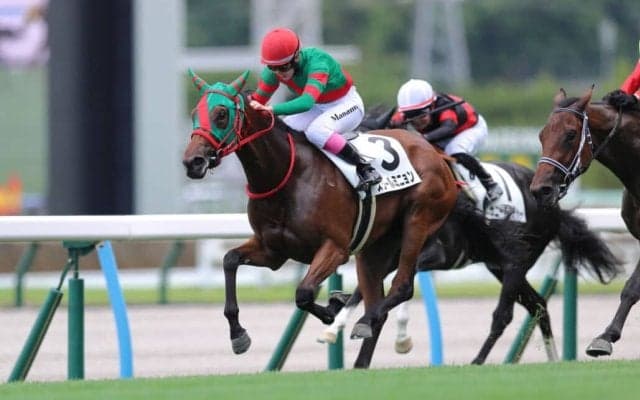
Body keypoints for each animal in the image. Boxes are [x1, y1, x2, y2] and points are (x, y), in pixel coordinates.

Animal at [181, 71, 459, 358]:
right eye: (194, 113)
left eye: (221, 113)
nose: (193, 162)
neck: (287, 175)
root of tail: (433, 152)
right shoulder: (272, 251)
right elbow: (229, 260)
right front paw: (238, 334)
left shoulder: (335, 248)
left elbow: (303, 293)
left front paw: (333, 308)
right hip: (375, 247)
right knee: (378, 297)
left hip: (418, 219)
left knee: (402, 286)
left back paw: (364, 320)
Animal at [319, 159, 621, 367]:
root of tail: (556, 208)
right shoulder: (392, 256)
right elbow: (363, 290)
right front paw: (334, 327)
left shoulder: (438, 253)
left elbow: (403, 283)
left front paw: (399, 337)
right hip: (498, 266)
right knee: (537, 304)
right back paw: (552, 357)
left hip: (515, 262)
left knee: (504, 315)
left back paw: (478, 360)